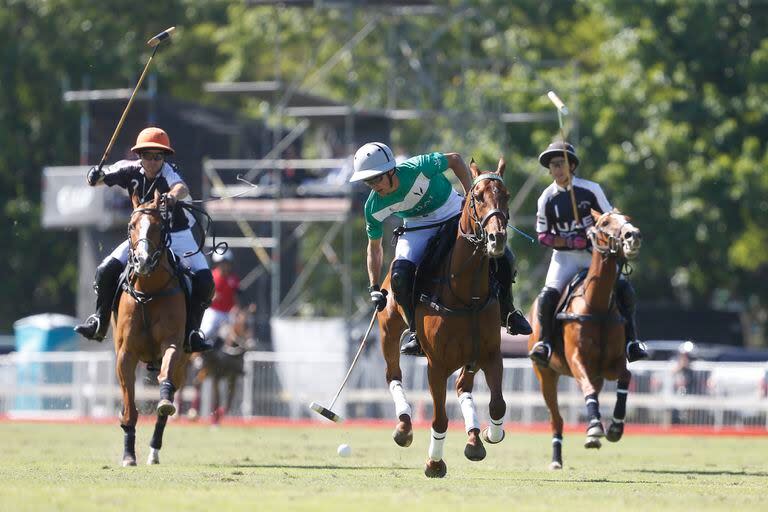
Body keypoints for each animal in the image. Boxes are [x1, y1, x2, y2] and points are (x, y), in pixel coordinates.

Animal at [115, 190, 191, 466]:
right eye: (131, 225)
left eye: (160, 226)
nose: (144, 261)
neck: (148, 291)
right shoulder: (125, 353)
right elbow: (130, 407)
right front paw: (128, 455)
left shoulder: (173, 343)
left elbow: (165, 375)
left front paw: (165, 399)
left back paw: (154, 452)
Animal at [378, 158, 510, 478]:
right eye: (477, 197)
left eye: (507, 195)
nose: (497, 239)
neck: (466, 294)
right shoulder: (436, 365)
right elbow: (439, 418)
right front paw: (434, 463)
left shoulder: (491, 354)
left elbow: (498, 405)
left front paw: (491, 433)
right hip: (388, 329)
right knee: (393, 374)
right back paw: (403, 426)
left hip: (471, 356)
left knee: (464, 387)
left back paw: (474, 439)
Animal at [528, 208, 640, 468]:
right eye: (605, 222)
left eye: (627, 218)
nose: (633, 236)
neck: (597, 306)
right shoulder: (577, 360)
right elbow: (586, 387)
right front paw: (596, 428)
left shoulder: (610, 365)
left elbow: (626, 376)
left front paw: (615, 427)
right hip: (545, 374)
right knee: (556, 418)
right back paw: (557, 458)